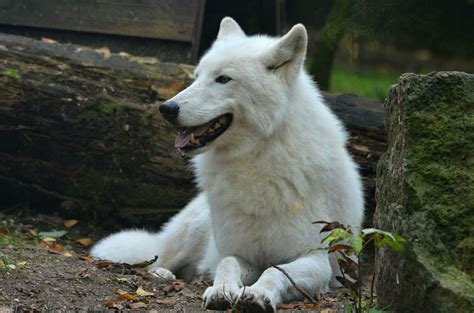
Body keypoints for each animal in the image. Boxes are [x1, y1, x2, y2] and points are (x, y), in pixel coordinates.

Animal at [91, 17, 362, 312]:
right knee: (161, 261)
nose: (166, 108)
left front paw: (257, 295)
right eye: (197, 76)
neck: (256, 159)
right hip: (194, 231)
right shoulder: (238, 253)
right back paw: (163, 274)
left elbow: (274, 270)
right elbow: (227, 264)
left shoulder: (315, 260)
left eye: (223, 79)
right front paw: (221, 291)